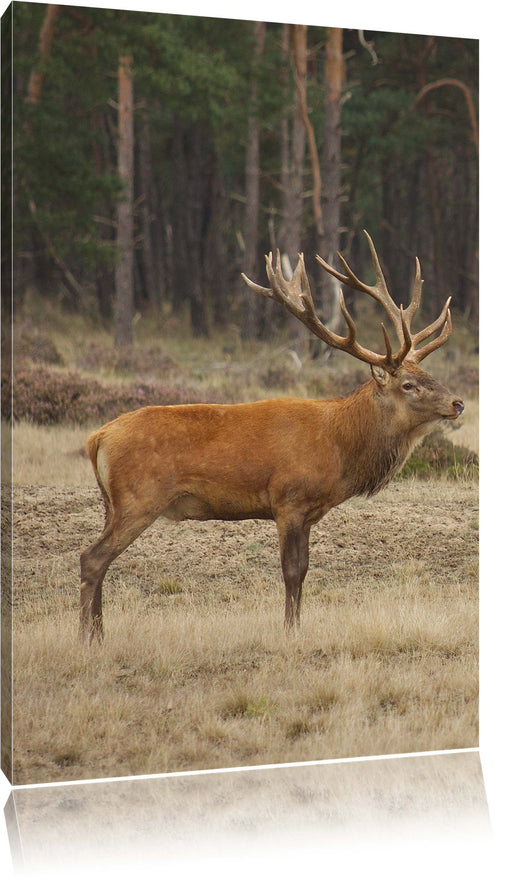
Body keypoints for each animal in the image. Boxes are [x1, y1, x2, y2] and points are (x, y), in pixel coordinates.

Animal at [79, 230, 464, 644]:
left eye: (429, 376)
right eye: (408, 384)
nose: (457, 402)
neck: (339, 448)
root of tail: (97, 438)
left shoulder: (309, 513)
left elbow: (306, 569)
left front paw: (297, 626)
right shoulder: (288, 500)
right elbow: (291, 571)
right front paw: (289, 631)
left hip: (112, 503)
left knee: (98, 559)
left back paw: (98, 634)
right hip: (139, 498)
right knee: (92, 558)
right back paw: (88, 637)